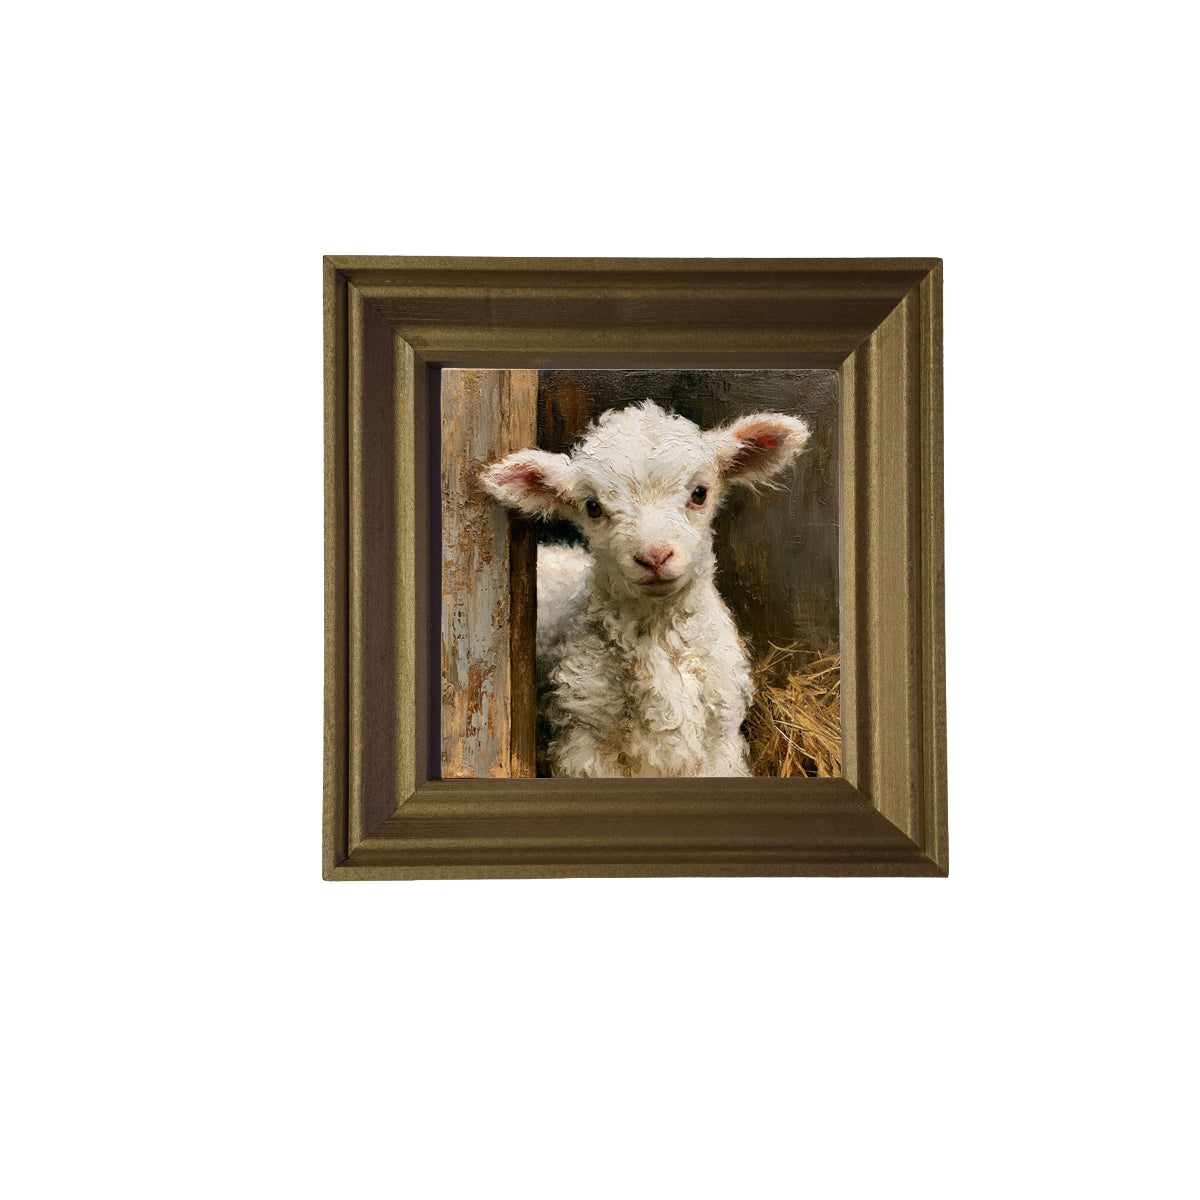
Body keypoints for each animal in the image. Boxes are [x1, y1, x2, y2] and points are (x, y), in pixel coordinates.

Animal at [481, 401, 810, 777]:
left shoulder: (720, 743)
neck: (659, 635)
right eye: (592, 507)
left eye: (700, 493)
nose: (653, 556)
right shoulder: (584, 743)